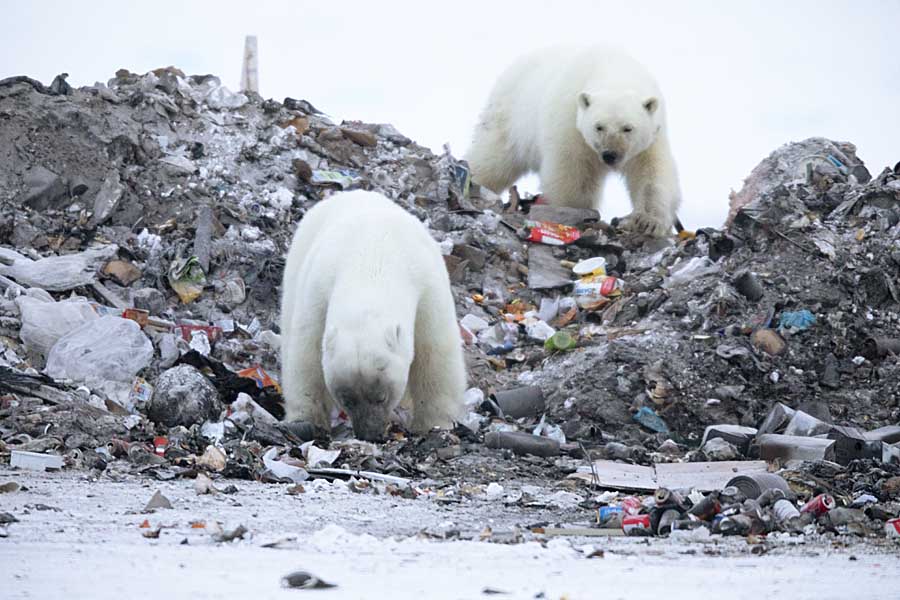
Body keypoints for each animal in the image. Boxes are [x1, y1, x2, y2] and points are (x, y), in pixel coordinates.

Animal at [280, 190, 464, 442]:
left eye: (381, 396)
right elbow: (307, 352)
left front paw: (433, 425)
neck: (372, 261)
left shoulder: (427, 287)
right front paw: (307, 420)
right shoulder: (318, 288)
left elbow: (435, 353)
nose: (369, 434)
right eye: (347, 399)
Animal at [464, 45, 684, 237]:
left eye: (628, 128)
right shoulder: (570, 123)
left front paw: (648, 221)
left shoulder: (652, 137)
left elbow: (651, 174)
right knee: (492, 159)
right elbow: (573, 172)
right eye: (598, 126)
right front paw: (579, 212)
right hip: (509, 117)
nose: (610, 155)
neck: (611, 69)